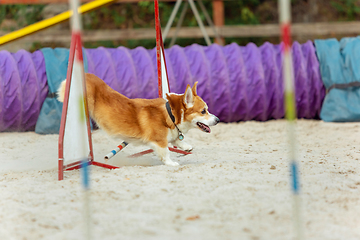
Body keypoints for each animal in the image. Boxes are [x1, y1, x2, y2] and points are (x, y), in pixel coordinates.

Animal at [58, 73, 219, 166]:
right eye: (203, 111)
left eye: (207, 109)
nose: (217, 120)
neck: (171, 115)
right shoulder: (158, 141)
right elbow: (165, 151)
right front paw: (171, 163)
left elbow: (176, 139)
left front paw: (185, 146)